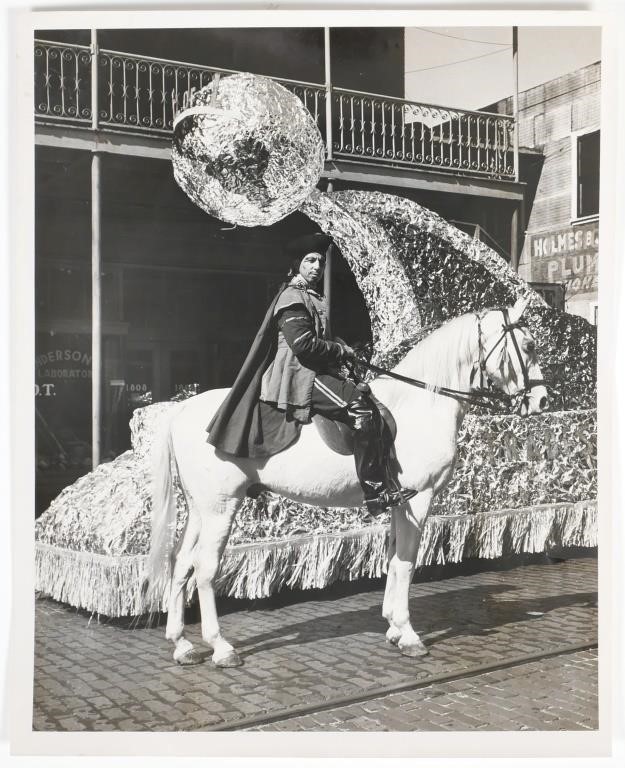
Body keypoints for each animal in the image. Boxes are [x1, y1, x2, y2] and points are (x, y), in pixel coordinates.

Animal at [143, 296, 544, 668]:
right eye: (528, 346)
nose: (541, 401)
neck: (421, 402)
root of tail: (181, 408)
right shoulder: (419, 500)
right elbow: (407, 562)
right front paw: (408, 633)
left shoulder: (397, 502)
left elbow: (393, 558)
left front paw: (393, 627)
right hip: (221, 507)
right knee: (205, 568)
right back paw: (221, 647)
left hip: (200, 509)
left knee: (181, 563)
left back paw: (182, 644)